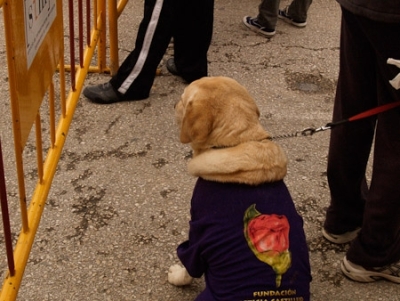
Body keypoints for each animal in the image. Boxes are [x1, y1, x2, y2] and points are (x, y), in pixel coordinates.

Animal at [169, 77, 312, 300]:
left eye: (183, 99)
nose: (174, 104)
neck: (238, 140)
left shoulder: (198, 232)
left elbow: (189, 264)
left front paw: (177, 276)